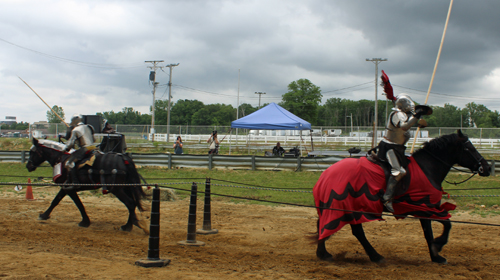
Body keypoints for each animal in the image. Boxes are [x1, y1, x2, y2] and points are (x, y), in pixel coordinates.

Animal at [314, 130, 490, 264]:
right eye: (469, 148)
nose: (487, 167)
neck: (428, 168)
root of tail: (325, 175)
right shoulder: (425, 208)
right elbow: (446, 224)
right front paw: (438, 248)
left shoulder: (424, 210)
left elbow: (429, 232)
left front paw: (435, 256)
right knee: (355, 231)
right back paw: (376, 256)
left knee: (326, 224)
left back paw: (324, 253)